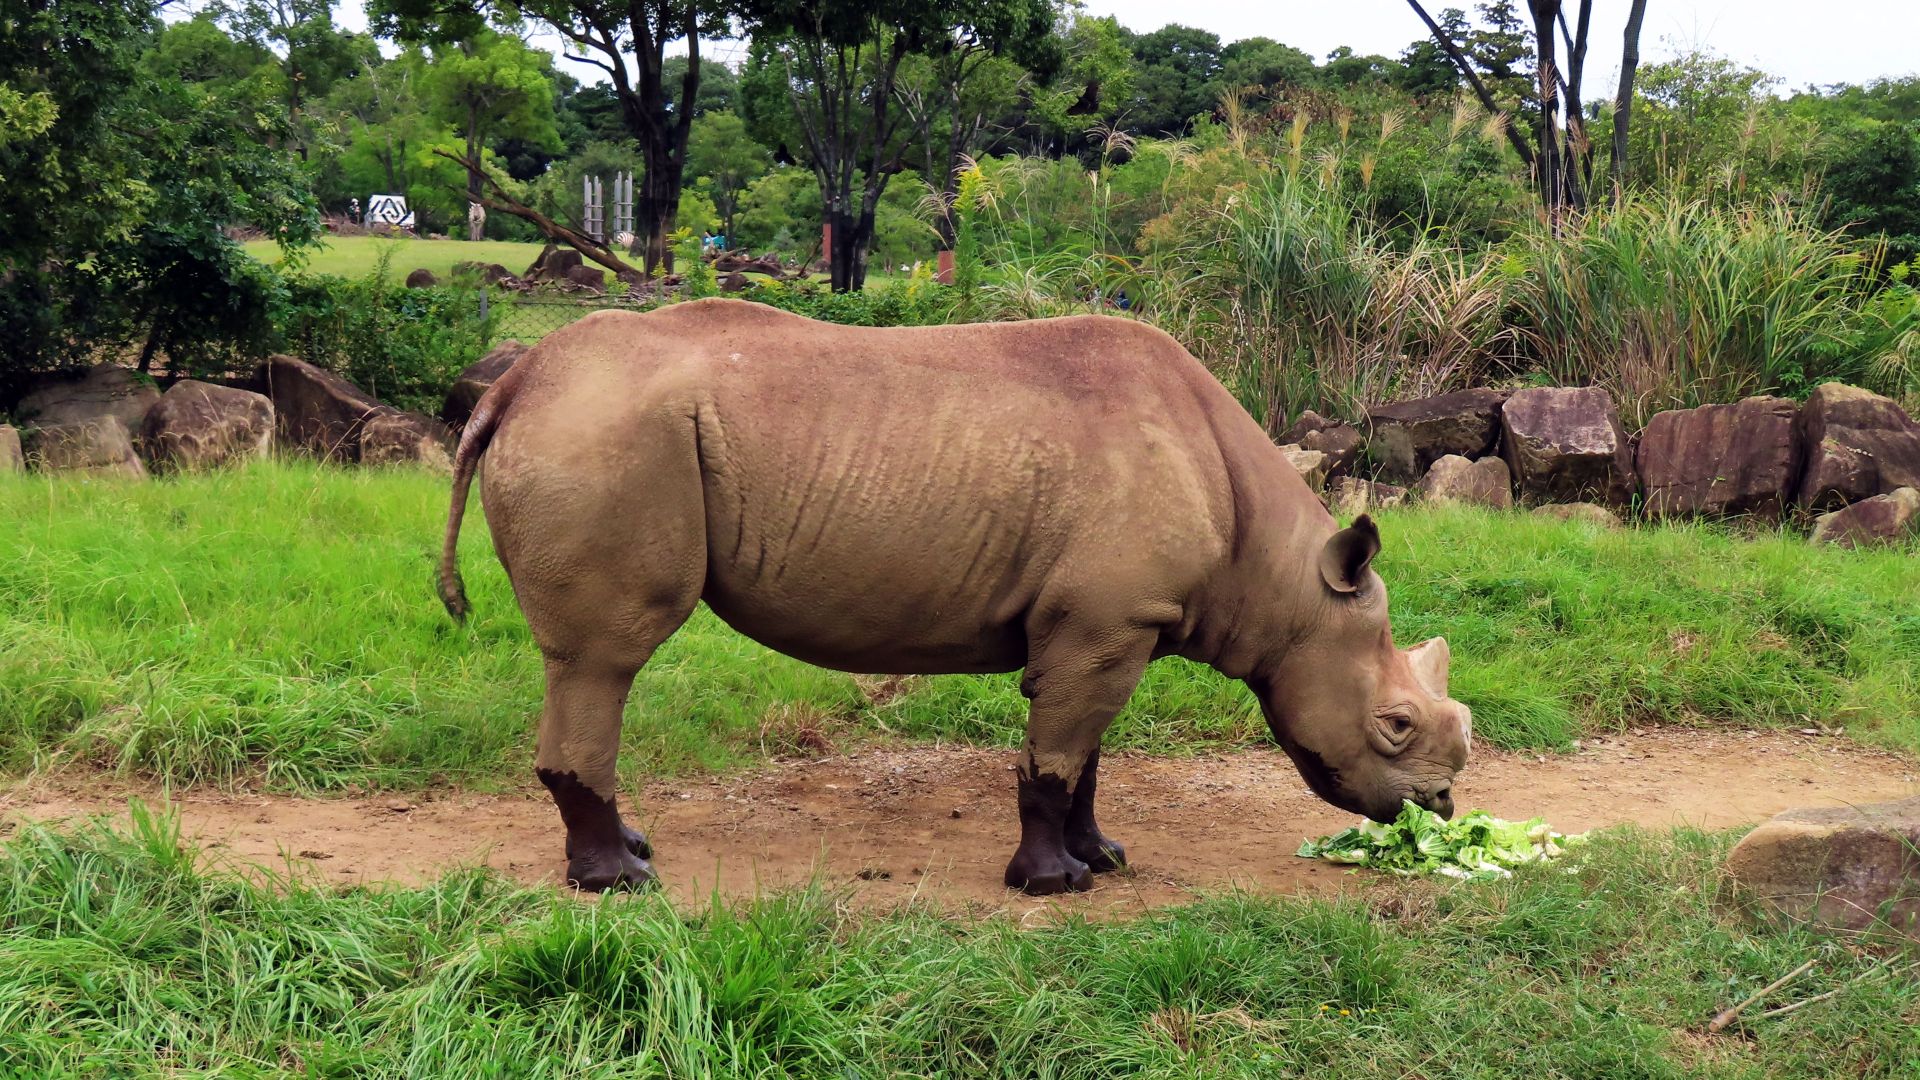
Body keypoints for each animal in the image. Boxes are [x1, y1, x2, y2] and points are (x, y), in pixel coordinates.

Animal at [438, 298, 1471, 895]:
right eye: (1394, 727)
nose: (1441, 810)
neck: (1284, 575)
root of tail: (515, 382)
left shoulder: (1104, 622)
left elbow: (1084, 751)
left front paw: (1104, 858)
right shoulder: (1106, 619)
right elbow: (1057, 756)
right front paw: (1054, 887)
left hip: (596, 424)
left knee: (591, 664)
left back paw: (633, 853)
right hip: (606, 433)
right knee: (604, 657)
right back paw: (619, 884)